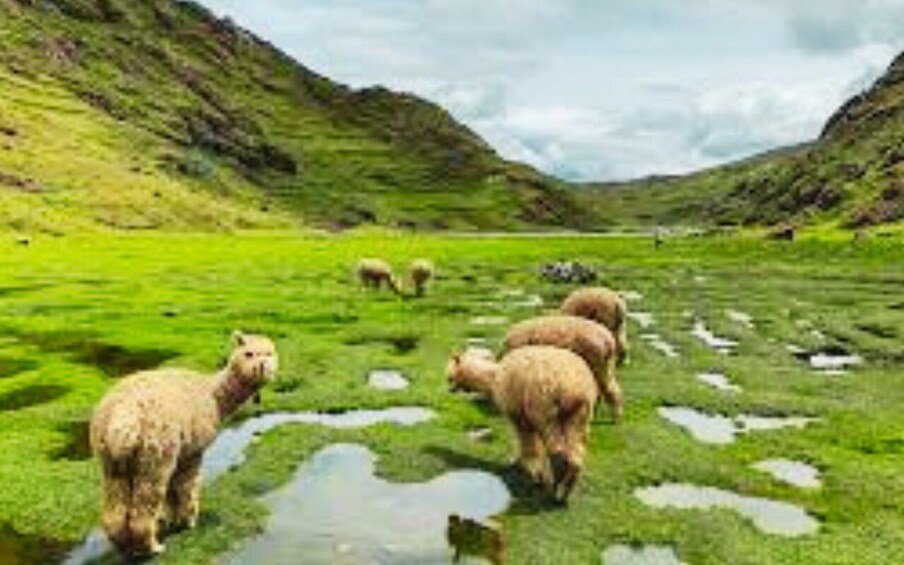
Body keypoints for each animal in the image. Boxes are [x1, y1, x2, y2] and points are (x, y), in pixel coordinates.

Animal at [89, 332, 278, 557]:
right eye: (249, 353)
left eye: (269, 353)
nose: (263, 367)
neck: (213, 396)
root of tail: (123, 417)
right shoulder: (193, 450)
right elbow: (187, 485)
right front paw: (188, 521)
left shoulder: (182, 451)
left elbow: (173, 490)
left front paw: (173, 519)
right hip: (156, 450)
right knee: (146, 503)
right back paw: (153, 547)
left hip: (111, 458)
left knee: (115, 507)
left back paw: (124, 546)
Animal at [447, 346, 597, 503]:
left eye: (450, 377)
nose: (449, 389)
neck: (495, 377)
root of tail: (573, 388)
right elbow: (537, 447)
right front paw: (535, 471)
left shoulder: (519, 415)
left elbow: (527, 445)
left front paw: (531, 472)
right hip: (579, 416)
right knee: (575, 453)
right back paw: (565, 491)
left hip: (545, 409)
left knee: (558, 450)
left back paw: (555, 489)